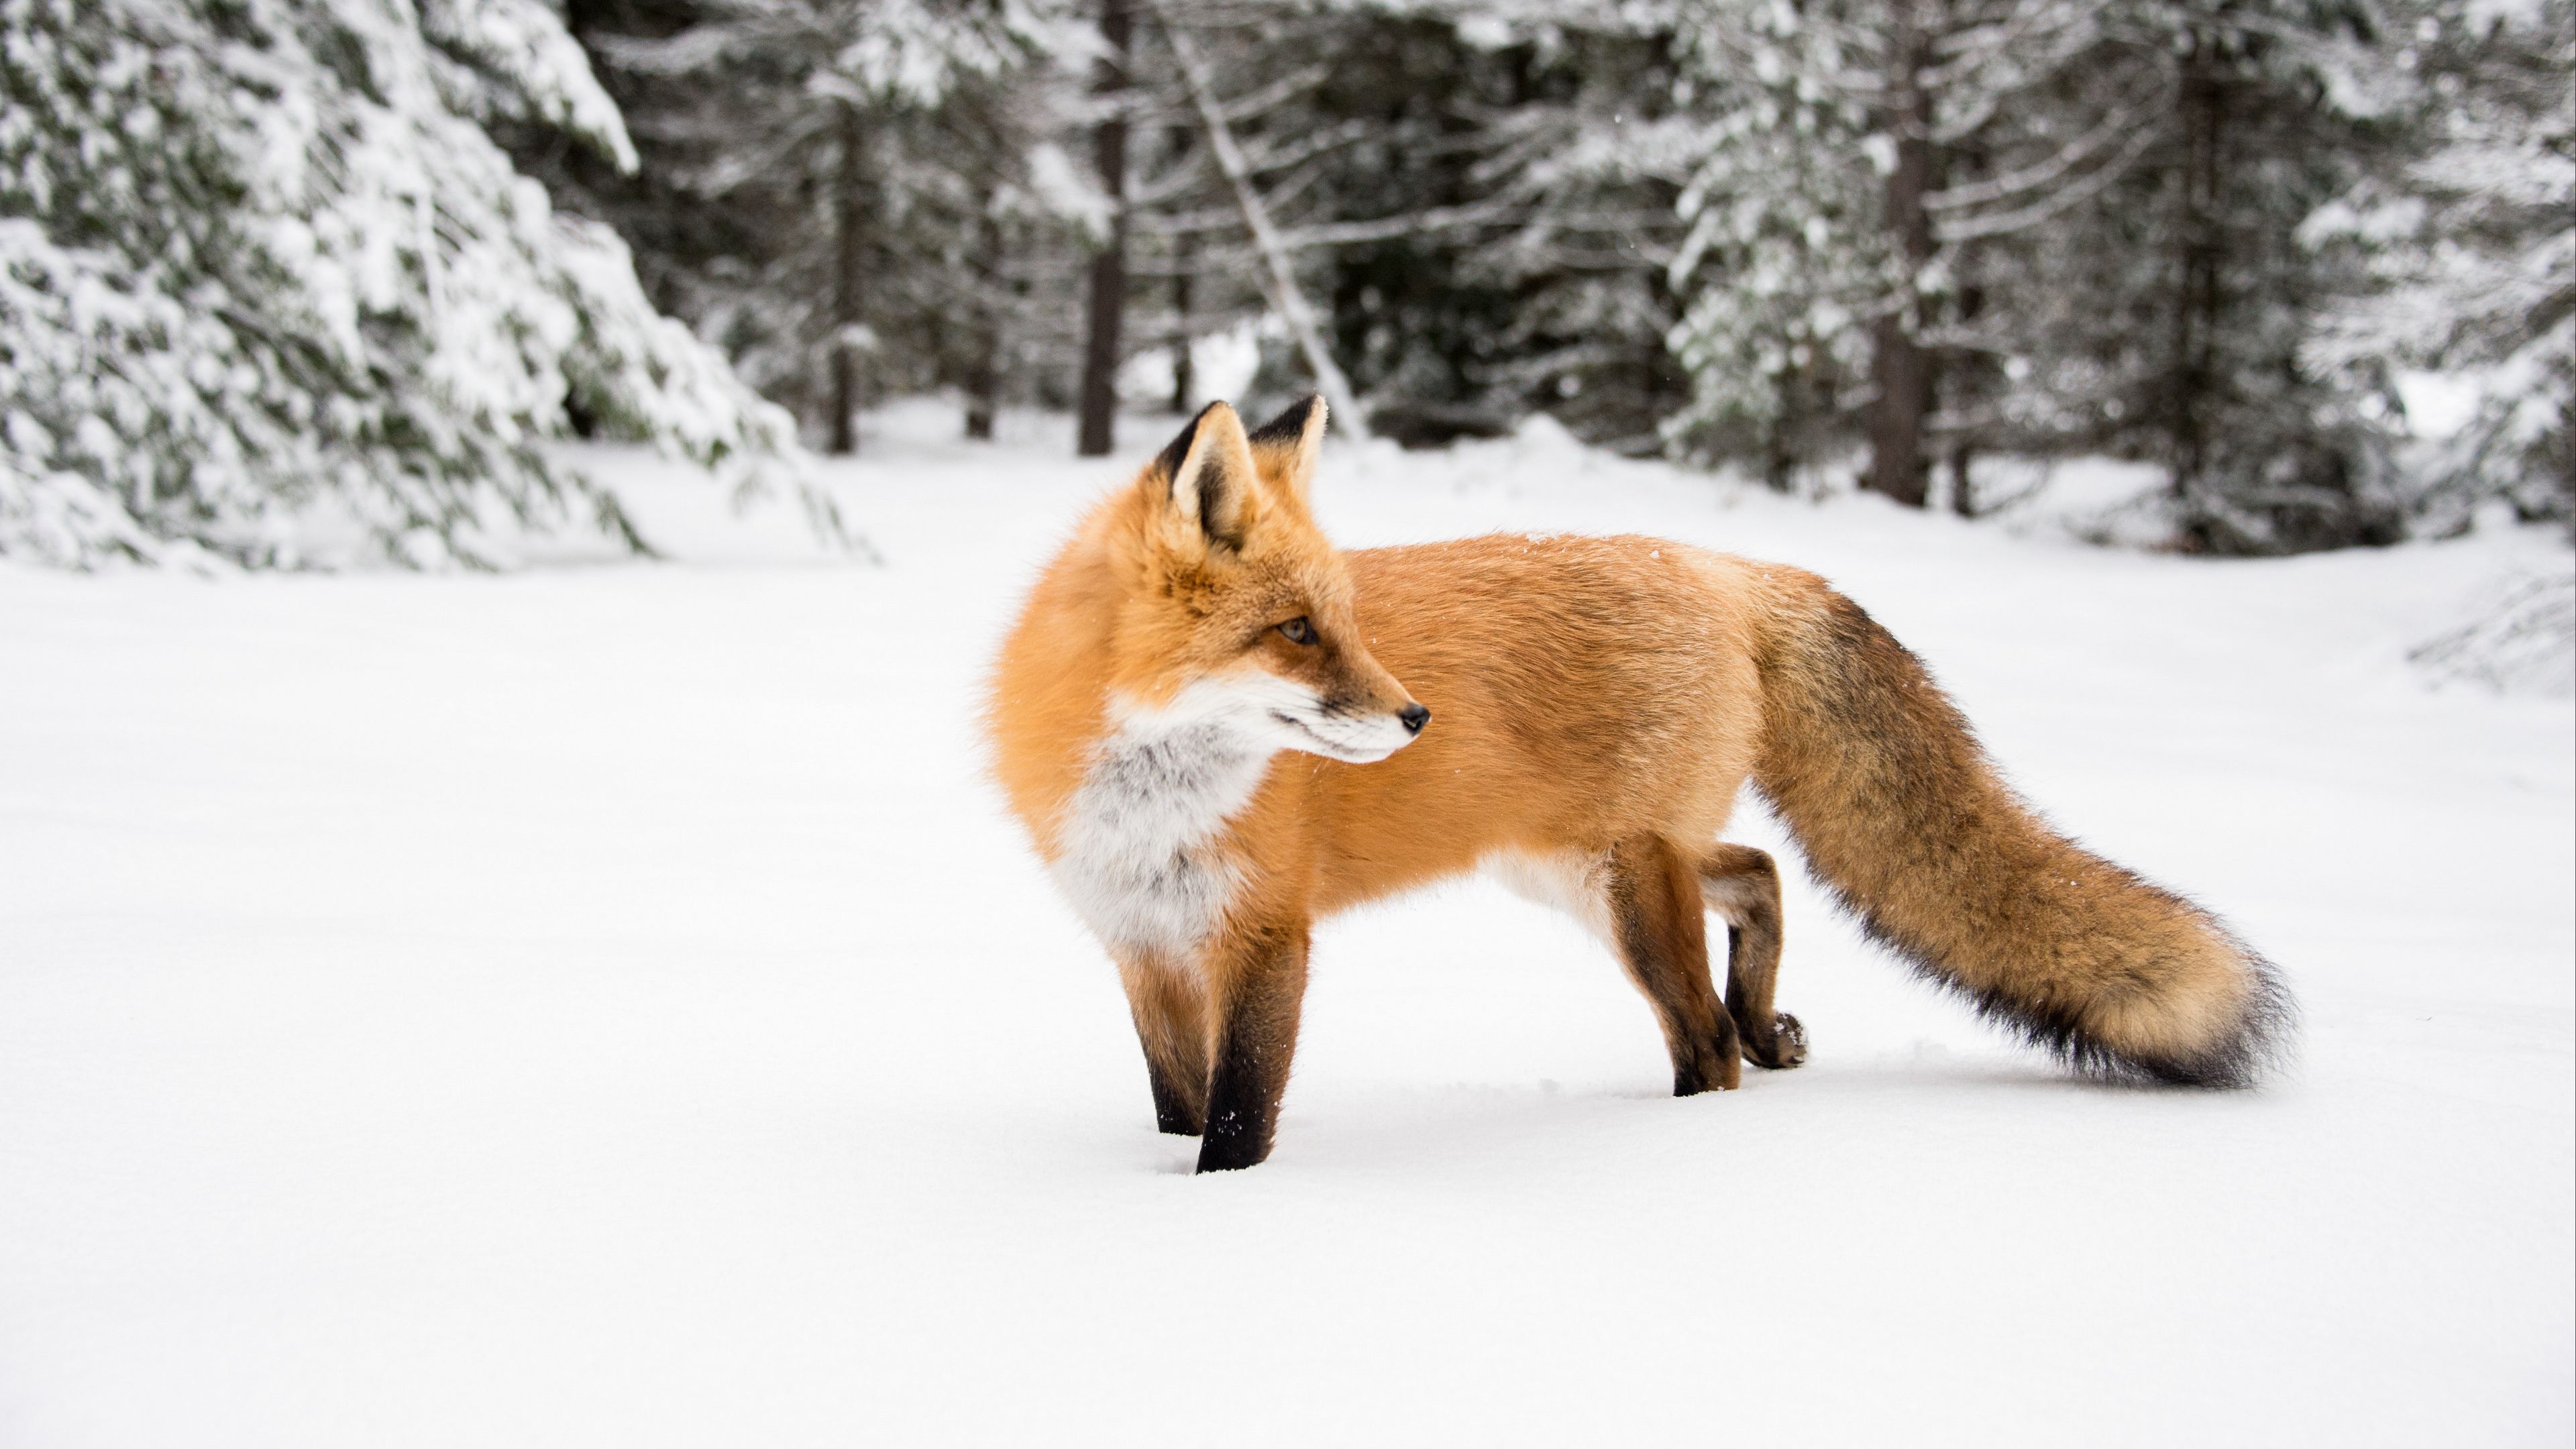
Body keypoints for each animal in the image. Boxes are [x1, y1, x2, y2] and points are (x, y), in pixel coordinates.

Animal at [986, 395, 2292, 1173]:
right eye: (1298, 632)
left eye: (1343, 624)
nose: (1415, 716)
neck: (1152, 802)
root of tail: (1724, 566)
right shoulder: (1144, 946)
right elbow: (1176, 1102)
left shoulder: (1265, 938)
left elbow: (1237, 1116)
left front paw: (1219, 1213)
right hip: (1578, 866)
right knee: (1759, 873)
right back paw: (1768, 1026)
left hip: (1622, 883)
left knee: (1705, 1038)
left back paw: (1678, 1131)